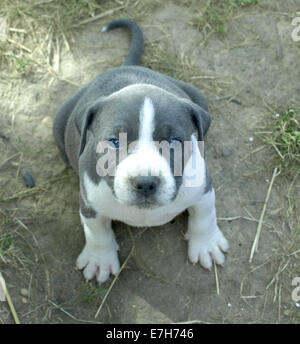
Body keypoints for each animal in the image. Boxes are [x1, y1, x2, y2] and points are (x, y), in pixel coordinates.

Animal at [53, 17, 227, 284]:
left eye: (174, 140)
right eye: (114, 142)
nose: (145, 182)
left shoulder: (203, 187)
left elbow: (204, 215)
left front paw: (206, 244)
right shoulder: (89, 201)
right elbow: (96, 231)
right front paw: (99, 260)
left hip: (196, 94)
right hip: (60, 120)